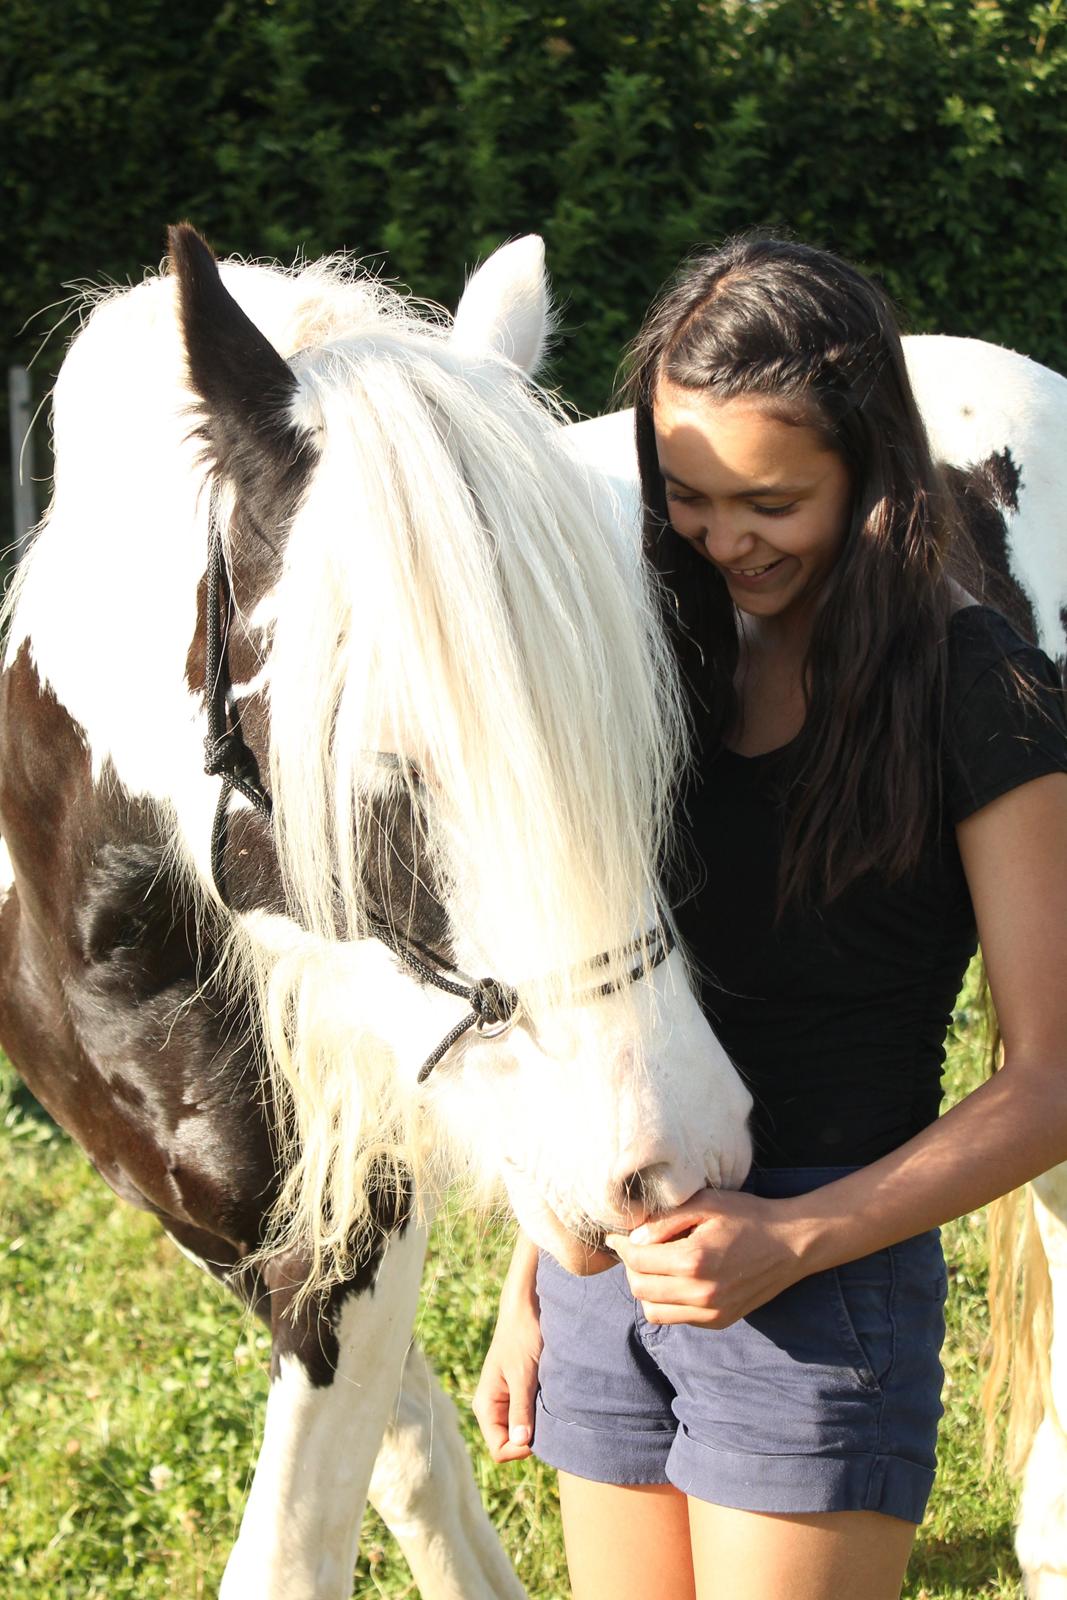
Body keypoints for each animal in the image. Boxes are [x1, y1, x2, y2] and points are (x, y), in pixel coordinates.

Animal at [0, 228, 755, 1600]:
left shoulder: (350, 1238)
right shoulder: (230, 1227)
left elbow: (303, 1540)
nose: (682, 1160)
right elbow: (411, 1455)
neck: (124, 952)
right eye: (381, 776)